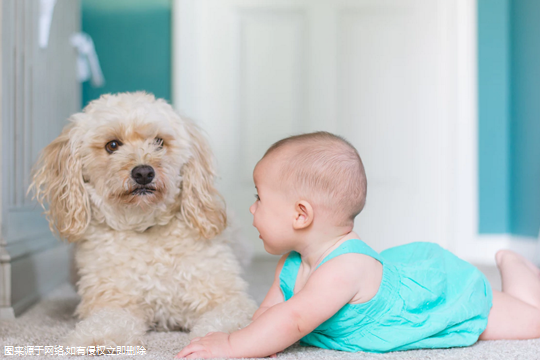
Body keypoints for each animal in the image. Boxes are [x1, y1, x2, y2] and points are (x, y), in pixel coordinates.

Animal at [29, 91, 258, 348]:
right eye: (112, 145)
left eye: (159, 142)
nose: (143, 173)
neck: (145, 227)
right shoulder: (114, 302)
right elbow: (106, 322)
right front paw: (92, 337)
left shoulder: (227, 298)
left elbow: (226, 319)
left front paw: (217, 339)